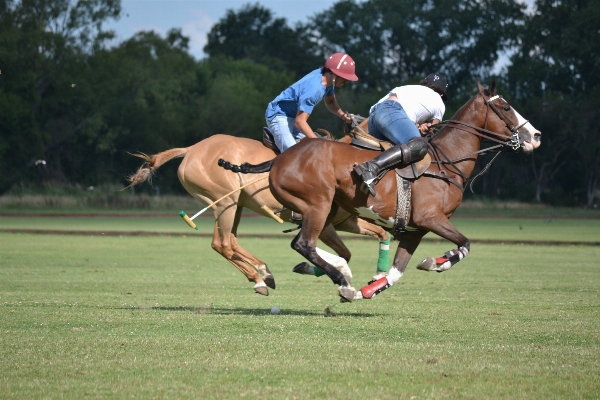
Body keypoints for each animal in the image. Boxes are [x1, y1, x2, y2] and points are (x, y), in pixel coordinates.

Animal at [127, 134, 390, 296]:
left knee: (228, 242)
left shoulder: (348, 221)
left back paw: (263, 273)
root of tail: (191, 149)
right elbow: (330, 250)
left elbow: (366, 241)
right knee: (223, 243)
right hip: (226, 202)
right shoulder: (323, 222)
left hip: (235, 206)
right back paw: (260, 278)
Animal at [218, 80, 540, 300]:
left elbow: (396, 272)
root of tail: (280, 157)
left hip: (326, 211)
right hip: (317, 205)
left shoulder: (415, 230)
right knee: (303, 244)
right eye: (506, 107)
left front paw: (369, 289)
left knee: (307, 244)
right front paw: (436, 262)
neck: (447, 161)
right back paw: (340, 279)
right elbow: (465, 244)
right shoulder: (432, 218)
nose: (535, 135)